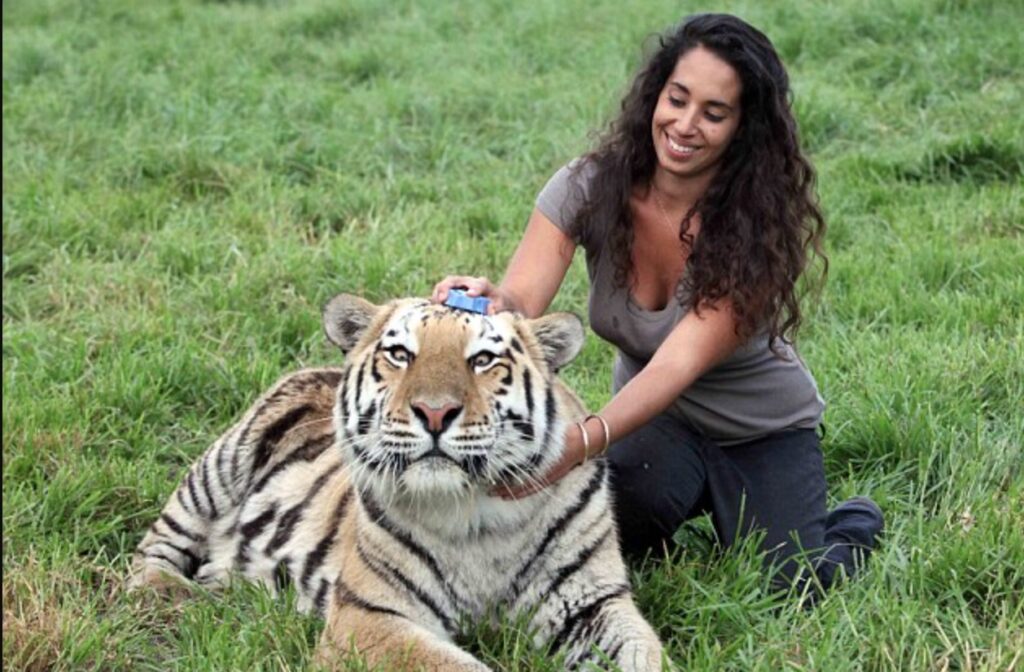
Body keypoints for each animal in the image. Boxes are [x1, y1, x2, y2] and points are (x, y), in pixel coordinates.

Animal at [128, 295, 667, 672]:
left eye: (482, 361)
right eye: (400, 354)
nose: (434, 412)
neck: (481, 517)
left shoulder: (593, 603)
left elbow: (644, 654)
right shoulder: (370, 615)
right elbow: (453, 665)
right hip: (220, 467)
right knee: (153, 549)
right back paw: (173, 596)